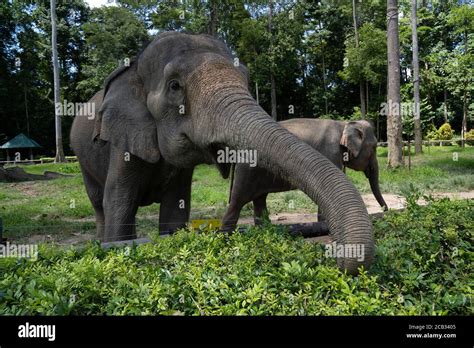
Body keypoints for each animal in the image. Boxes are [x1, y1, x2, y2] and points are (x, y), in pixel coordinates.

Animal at [222, 118, 388, 228]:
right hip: (248, 171)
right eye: (374, 147)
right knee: (238, 201)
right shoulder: (331, 153)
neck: (343, 124)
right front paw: (324, 225)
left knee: (259, 199)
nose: (385, 211)